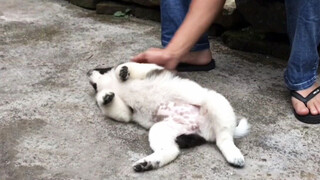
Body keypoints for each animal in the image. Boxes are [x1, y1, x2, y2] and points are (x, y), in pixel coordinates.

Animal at [87, 62, 250, 172]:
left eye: (100, 68)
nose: (87, 71)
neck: (111, 84)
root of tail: (201, 127)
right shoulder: (126, 111)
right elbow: (116, 108)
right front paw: (104, 97)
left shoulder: (149, 68)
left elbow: (129, 66)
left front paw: (122, 71)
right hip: (161, 128)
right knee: (172, 151)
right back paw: (147, 163)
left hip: (216, 104)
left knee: (224, 139)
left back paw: (234, 156)